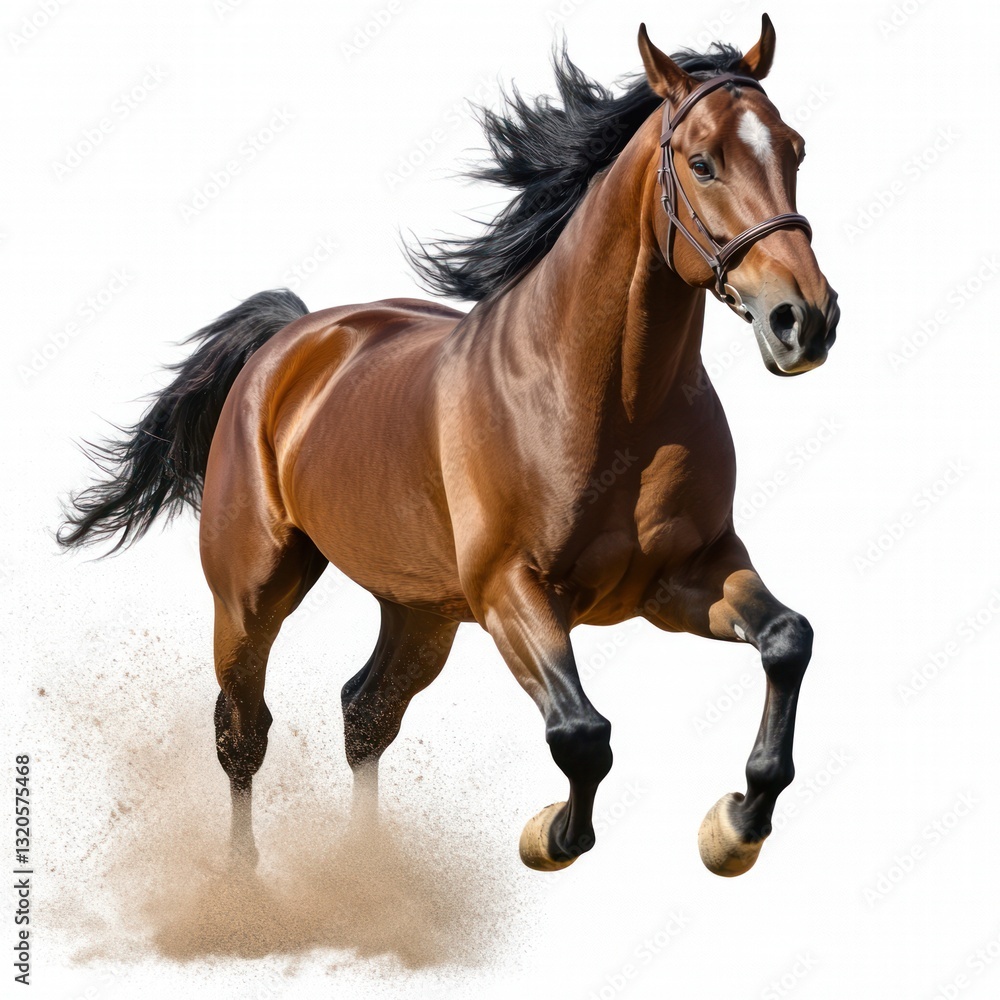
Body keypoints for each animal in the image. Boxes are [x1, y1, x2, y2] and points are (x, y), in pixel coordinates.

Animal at [59, 15, 839, 878]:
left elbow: (788, 641)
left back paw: (367, 875)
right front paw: (550, 836)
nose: (805, 319)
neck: (610, 400)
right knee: (242, 729)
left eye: (795, 149)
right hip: (251, 596)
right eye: (702, 162)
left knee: (365, 711)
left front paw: (735, 825)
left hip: (420, 610)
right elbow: (583, 733)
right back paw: (243, 882)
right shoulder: (513, 592)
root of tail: (290, 339)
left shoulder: (686, 578)